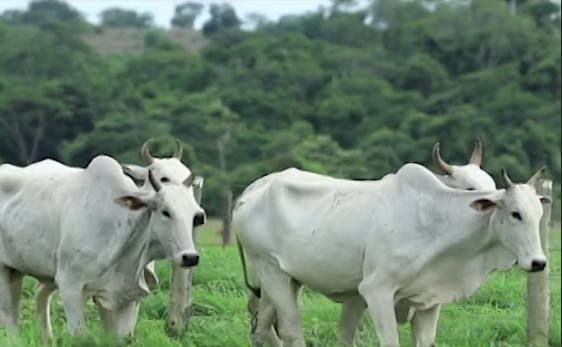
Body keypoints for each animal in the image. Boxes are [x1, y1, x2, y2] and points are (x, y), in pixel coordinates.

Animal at [0, 156, 205, 342]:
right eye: (165, 212)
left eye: (194, 215)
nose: (190, 257)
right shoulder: (70, 286)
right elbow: (79, 336)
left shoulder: (126, 296)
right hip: (4, 269)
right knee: (8, 312)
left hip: (17, 270)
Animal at [233, 164, 548, 347]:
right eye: (515, 213)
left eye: (539, 214)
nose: (539, 262)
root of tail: (248, 194)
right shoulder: (377, 290)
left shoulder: (430, 300)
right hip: (271, 272)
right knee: (290, 330)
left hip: (286, 280)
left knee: (262, 328)